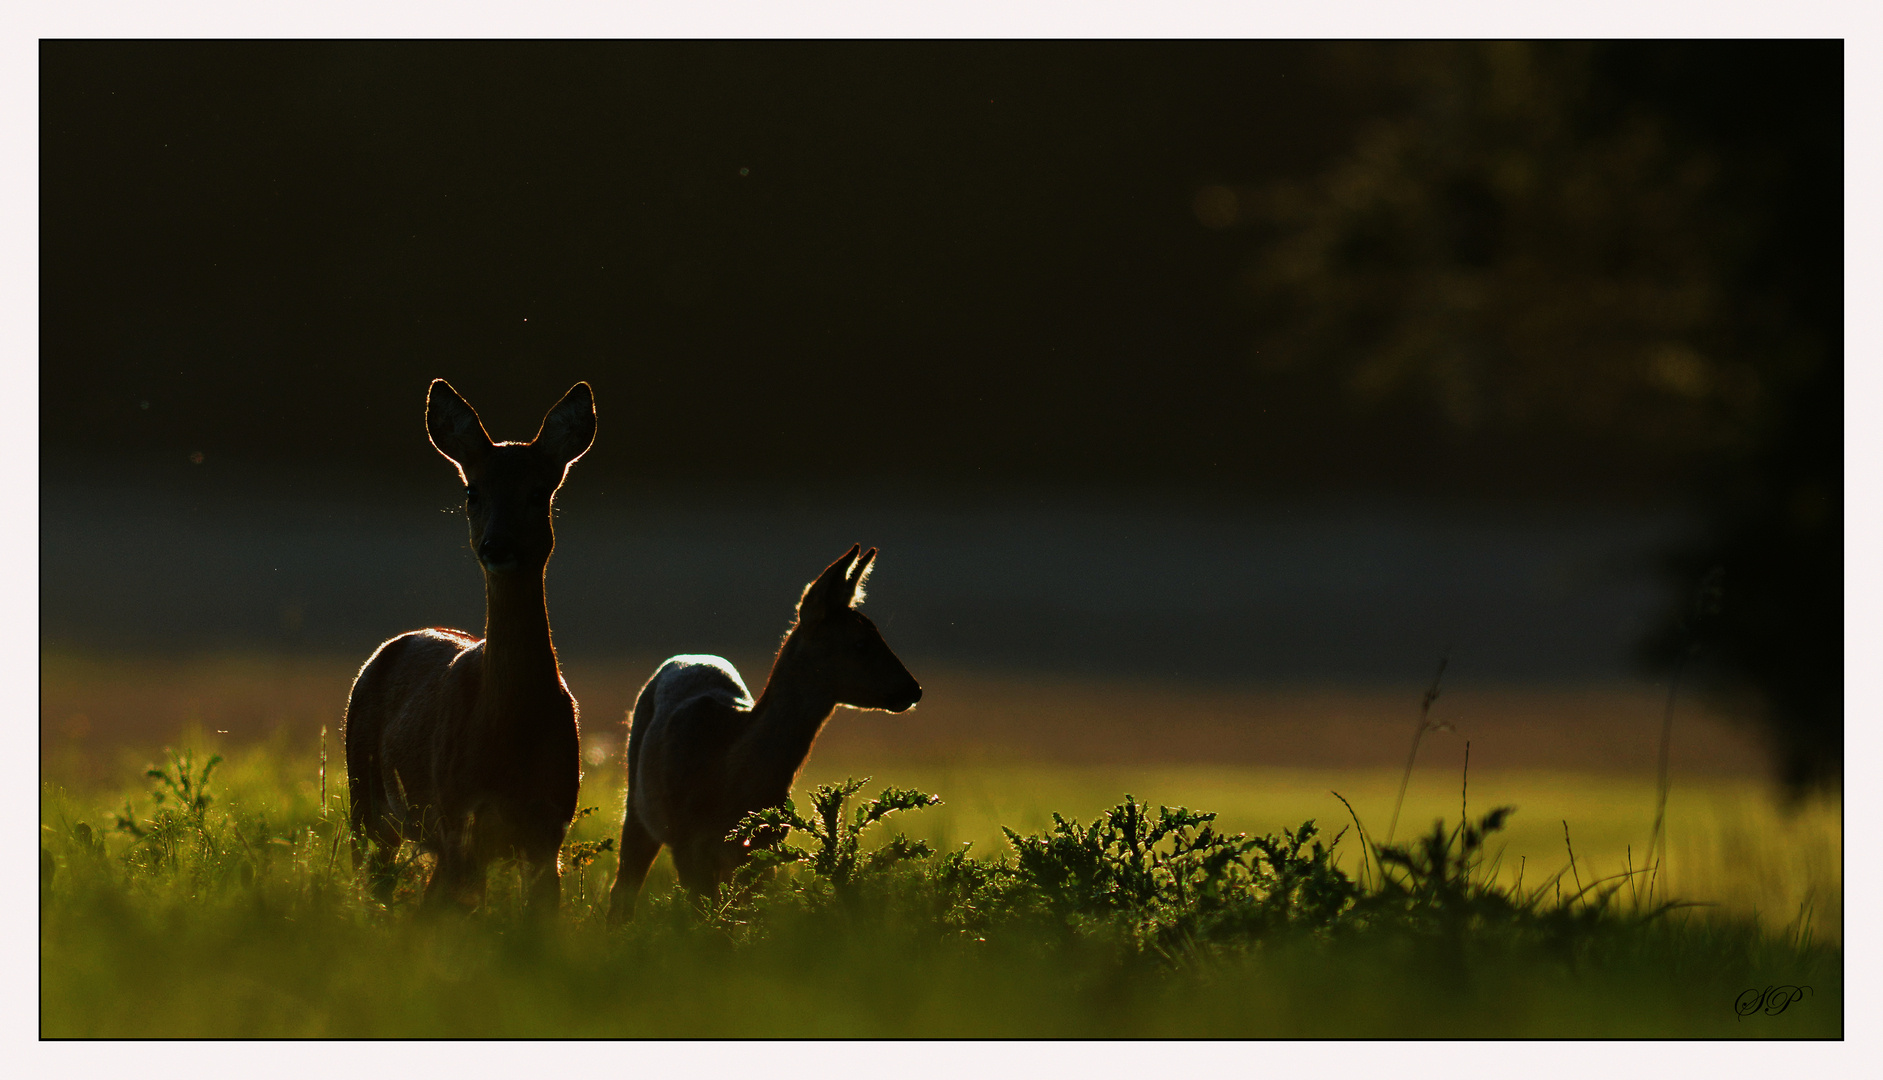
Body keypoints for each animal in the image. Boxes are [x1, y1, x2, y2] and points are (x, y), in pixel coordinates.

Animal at [342, 380, 595, 914]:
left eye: (538, 492)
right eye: (472, 491)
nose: (496, 546)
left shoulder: (550, 827)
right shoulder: (457, 815)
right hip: (365, 802)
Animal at [606, 545, 922, 925]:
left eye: (879, 636)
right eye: (861, 643)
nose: (913, 689)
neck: (728, 773)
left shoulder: (764, 847)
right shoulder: (687, 844)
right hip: (638, 805)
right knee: (622, 890)